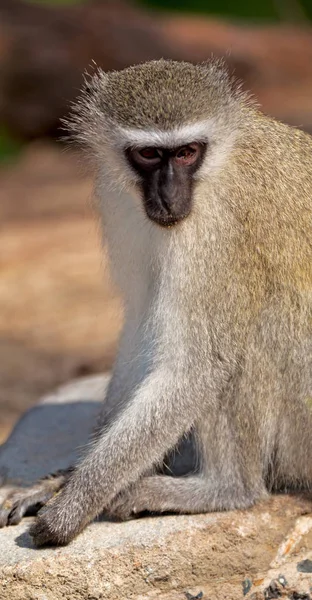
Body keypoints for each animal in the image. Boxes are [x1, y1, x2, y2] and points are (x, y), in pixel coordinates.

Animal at [0, 59, 312, 544]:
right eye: (149, 155)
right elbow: (139, 328)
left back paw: (225, 488)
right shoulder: (120, 202)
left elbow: (198, 366)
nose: (168, 196)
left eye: (186, 153)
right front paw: (63, 480)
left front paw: (71, 507)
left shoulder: (215, 231)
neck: (218, 166)